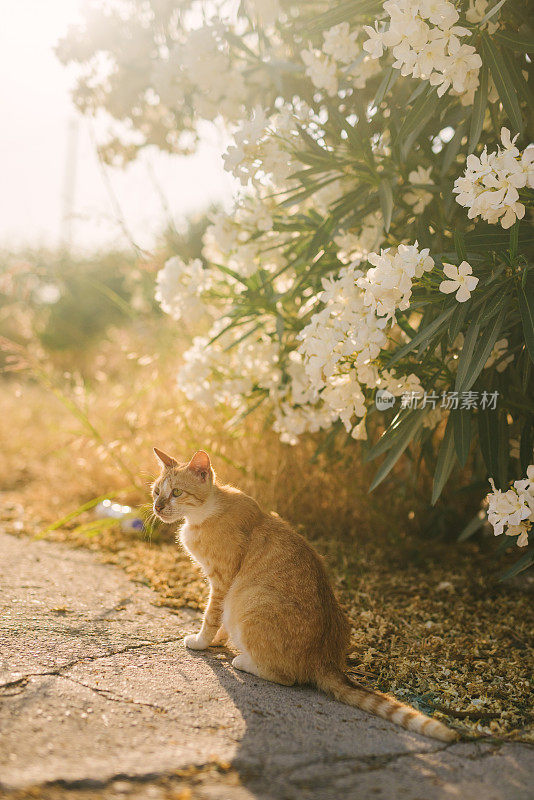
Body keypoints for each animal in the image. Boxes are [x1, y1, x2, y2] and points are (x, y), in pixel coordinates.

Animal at [153, 444, 458, 744]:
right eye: (157, 492)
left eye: (176, 492)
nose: (157, 506)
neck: (205, 513)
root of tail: (325, 660)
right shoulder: (224, 590)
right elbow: (221, 622)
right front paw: (218, 641)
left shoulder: (223, 583)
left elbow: (211, 616)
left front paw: (202, 642)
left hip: (250, 603)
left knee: (287, 677)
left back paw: (244, 661)